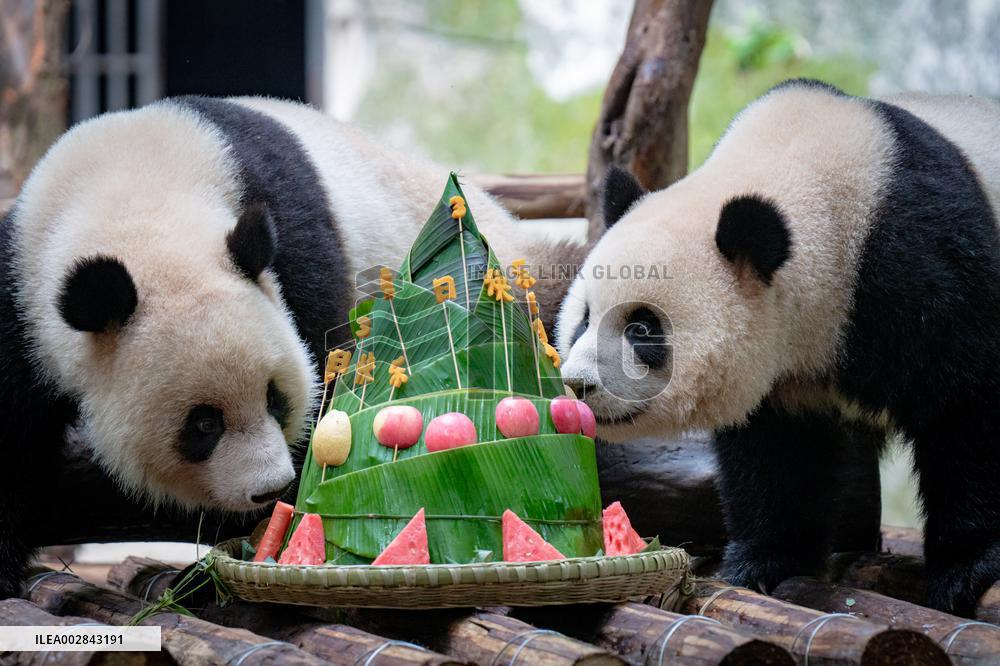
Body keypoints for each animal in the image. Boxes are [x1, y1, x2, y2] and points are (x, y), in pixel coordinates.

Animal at [0, 96, 520, 598]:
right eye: (203, 424)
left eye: (275, 397)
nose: (269, 488)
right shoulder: (21, 299)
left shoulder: (295, 242)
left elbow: (330, 376)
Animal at [557, 79, 1000, 616]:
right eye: (584, 318)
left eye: (642, 329)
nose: (579, 385)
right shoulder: (783, 375)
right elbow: (776, 456)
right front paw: (765, 561)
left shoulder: (923, 263)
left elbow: (967, 404)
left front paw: (967, 567)